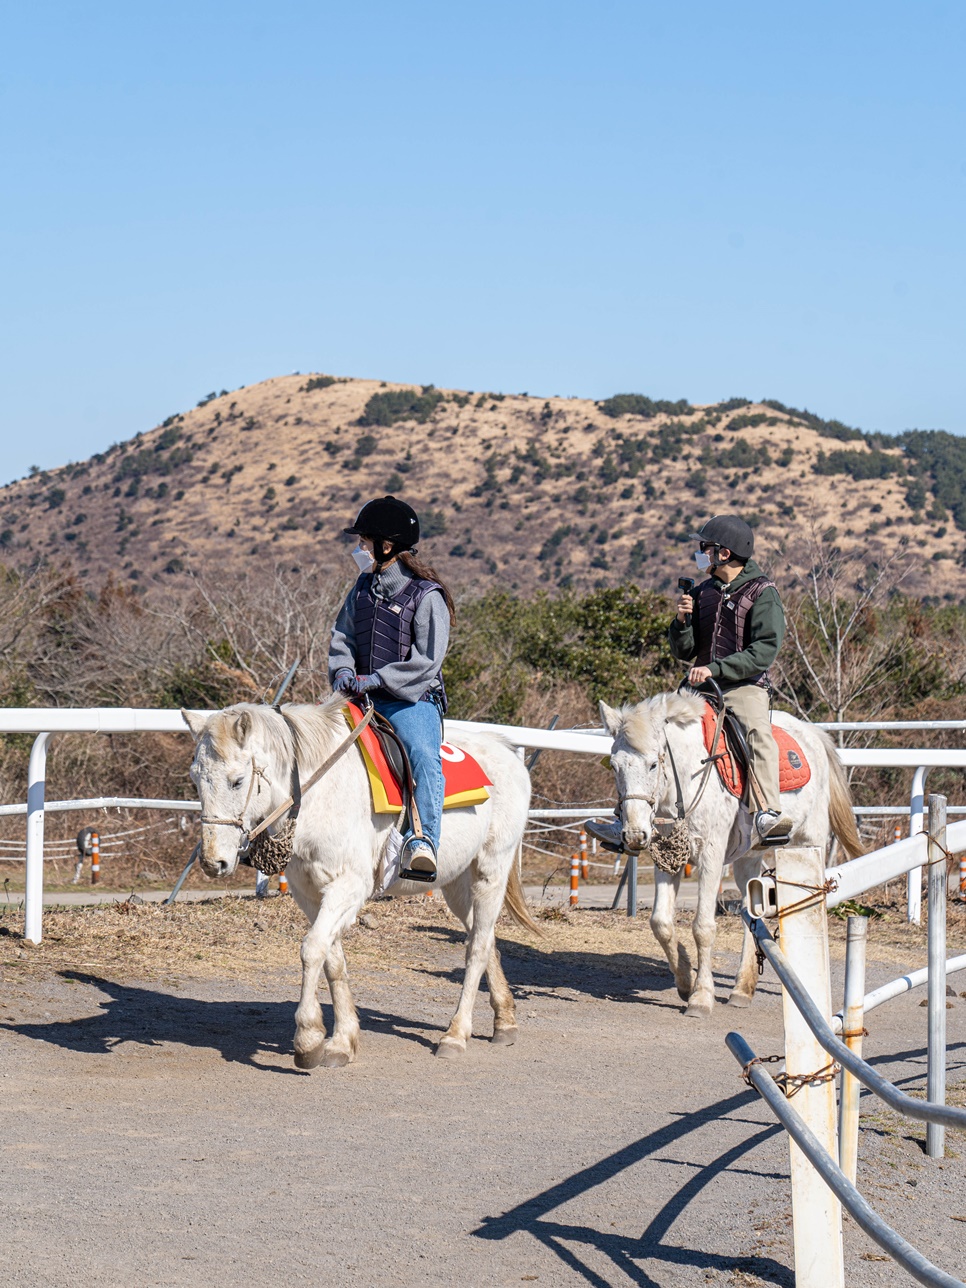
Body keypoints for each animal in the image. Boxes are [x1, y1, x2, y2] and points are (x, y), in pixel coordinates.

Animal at [181, 700, 538, 1071]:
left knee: (478, 947)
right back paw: (504, 1020)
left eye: (237, 781)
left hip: (491, 869)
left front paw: (308, 1040)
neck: (319, 792)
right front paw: (342, 1041)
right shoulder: (309, 892)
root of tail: (506, 750)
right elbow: (332, 959)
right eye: (195, 779)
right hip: (456, 883)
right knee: (486, 937)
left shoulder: (350, 886)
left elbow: (312, 949)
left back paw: (455, 1035)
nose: (212, 862)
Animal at [602, 690, 865, 1020]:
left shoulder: (711, 855)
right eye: (614, 766)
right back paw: (742, 989)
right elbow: (660, 922)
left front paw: (701, 998)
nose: (635, 835)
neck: (687, 777)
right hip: (747, 860)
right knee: (751, 913)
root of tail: (814, 735)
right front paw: (685, 980)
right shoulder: (668, 856)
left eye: (652, 764)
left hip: (807, 842)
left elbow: (703, 927)